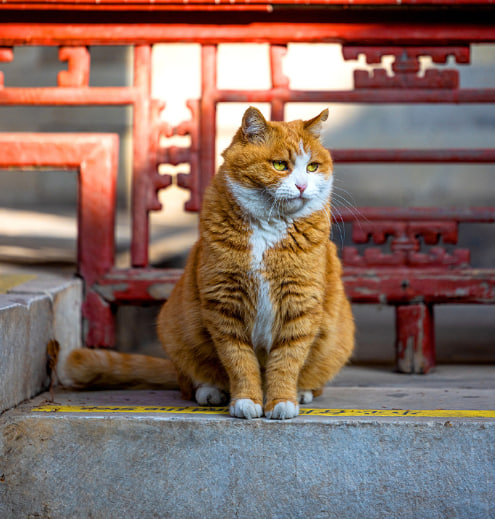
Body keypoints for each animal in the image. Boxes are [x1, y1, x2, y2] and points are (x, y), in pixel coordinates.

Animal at [64, 107, 354, 420]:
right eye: (280, 165)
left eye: (312, 167)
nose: (302, 186)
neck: (268, 229)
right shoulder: (224, 303)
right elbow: (239, 360)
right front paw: (246, 401)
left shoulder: (300, 303)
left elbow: (287, 359)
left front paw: (281, 401)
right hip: (177, 331)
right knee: (189, 379)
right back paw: (211, 391)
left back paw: (302, 392)